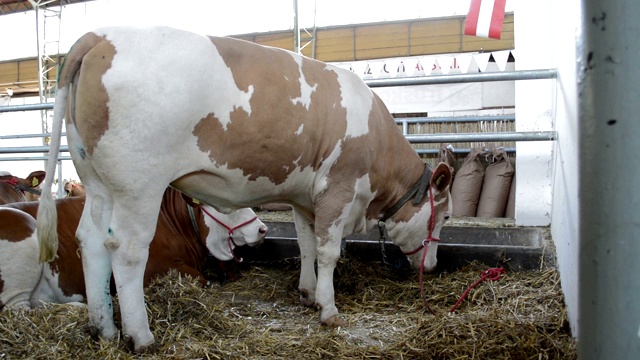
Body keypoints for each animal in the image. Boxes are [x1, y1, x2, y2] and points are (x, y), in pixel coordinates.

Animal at [36, 27, 456, 352]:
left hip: (97, 182)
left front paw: (307, 294)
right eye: (446, 214)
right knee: (126, 249)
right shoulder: (339, 187)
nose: (433, 266)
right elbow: (328, 252)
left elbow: (306, 246)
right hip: (139, 184)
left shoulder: (304, 198)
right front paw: (329, 309)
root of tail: (100, 36)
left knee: (90, 241)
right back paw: (140, 336)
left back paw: (103, 329)